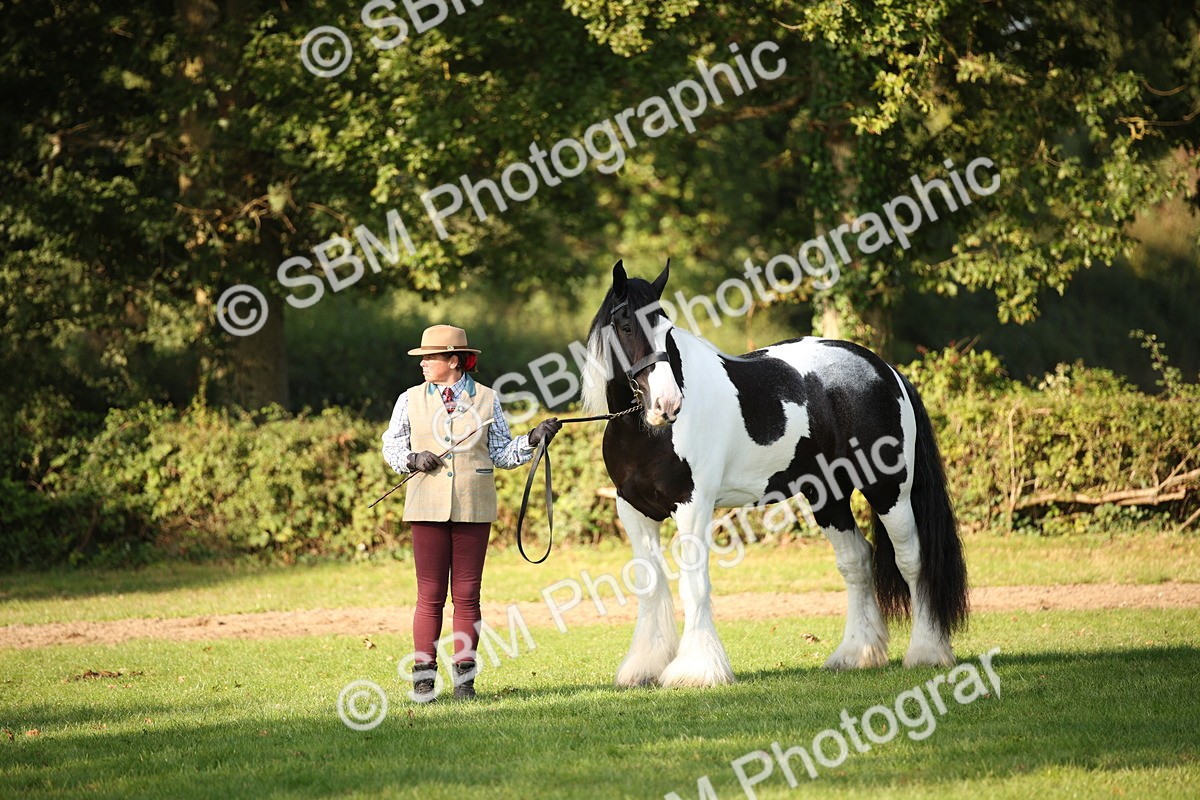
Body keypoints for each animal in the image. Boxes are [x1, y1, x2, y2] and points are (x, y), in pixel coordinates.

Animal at [580, 260, 969, 688]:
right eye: (627, 326)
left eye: (666, 328)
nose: (668, 404)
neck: (646, 432)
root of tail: (883, 369)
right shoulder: (634, 510)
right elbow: (650, 586)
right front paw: (645, 666)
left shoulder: (692, 507)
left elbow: (694, 586)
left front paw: (697, 670)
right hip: (828, 496)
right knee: (856, 561)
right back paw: (856, 654)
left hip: (889, 490)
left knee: (912, 560)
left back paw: (927, 652)